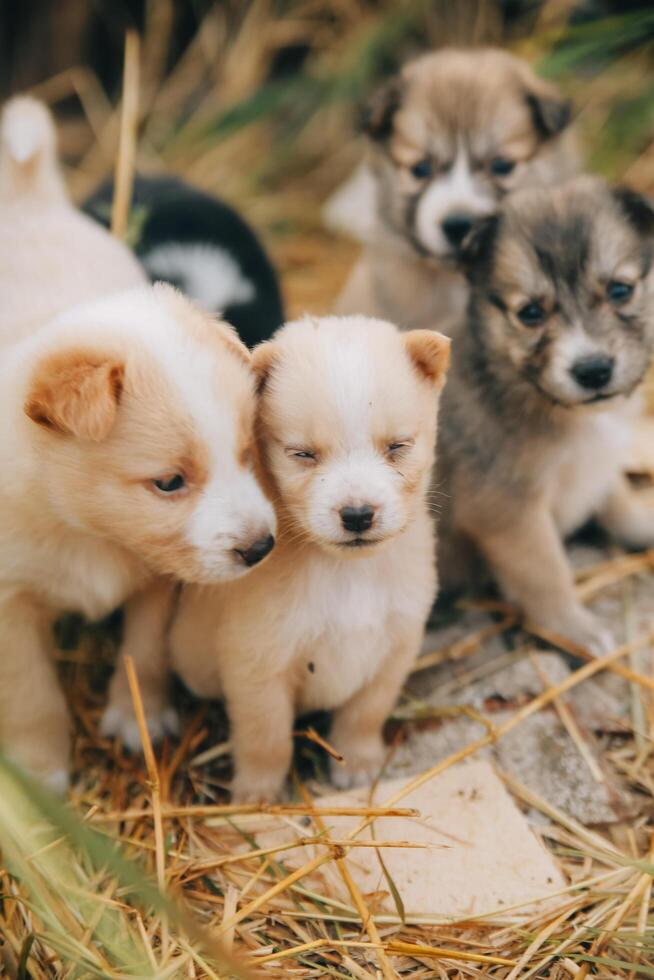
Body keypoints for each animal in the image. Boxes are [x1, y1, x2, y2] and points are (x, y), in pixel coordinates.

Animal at [170, 318, 452, 800]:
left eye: (397, 446)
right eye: (302, 454)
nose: (357, 515)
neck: (347, 573)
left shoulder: (395, 648)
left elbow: (364, 714)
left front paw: (359, 763)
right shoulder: (257, 662)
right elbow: (266, 737)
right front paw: (259, 794)